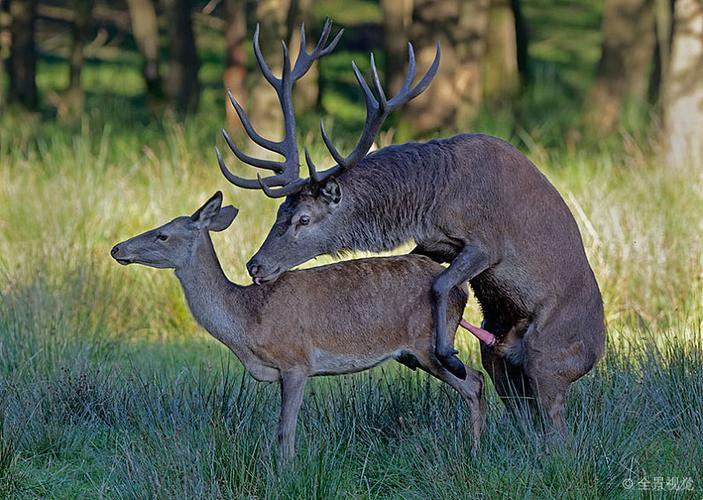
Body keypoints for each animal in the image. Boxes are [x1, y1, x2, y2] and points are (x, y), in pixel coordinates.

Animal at [110, 192, 486, 460]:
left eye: (162, 235)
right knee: (475, 381)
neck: (246, 319)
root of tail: (462, 290)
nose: (116, 248)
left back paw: (474, 451)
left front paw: (285, 472)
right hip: (413, 354)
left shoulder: (295, 361)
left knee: (475, 381)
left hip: (428, 344)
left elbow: (284, 430)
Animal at [217, 22, 608, 430]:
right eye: (280, 211)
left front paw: (447, 351)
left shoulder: (488, 241)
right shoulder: (433, 242)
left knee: (556, 426)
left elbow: (441, 284)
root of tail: (597, 352)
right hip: (503, 363)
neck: (430, 199)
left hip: (550, 358)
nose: (255, 265)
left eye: (303, 219)